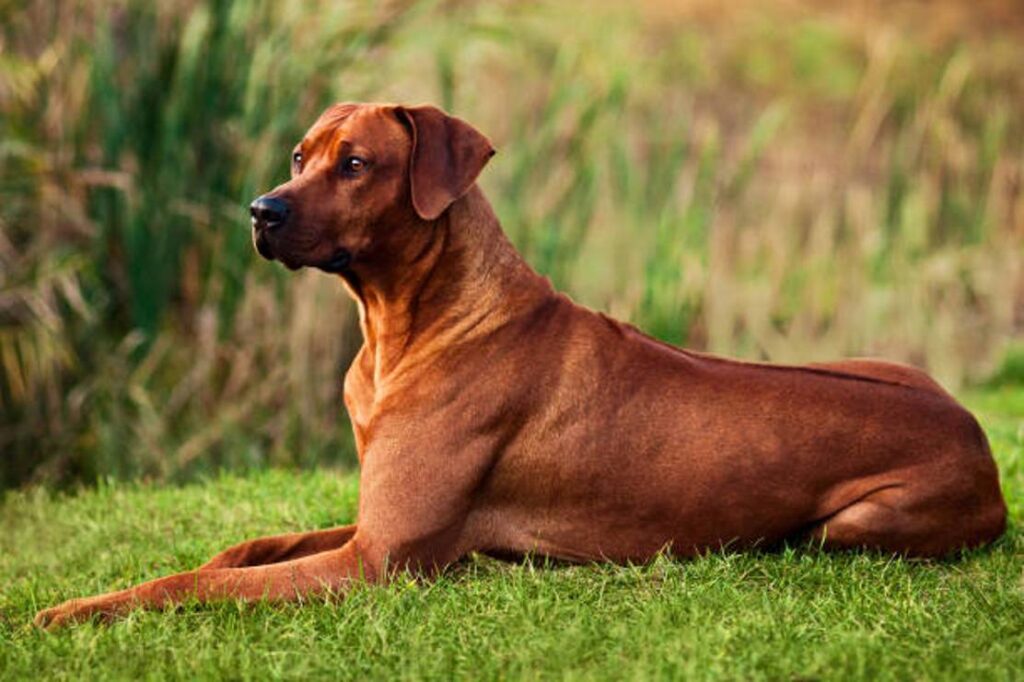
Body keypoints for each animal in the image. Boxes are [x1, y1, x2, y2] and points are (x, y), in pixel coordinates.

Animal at [34, 102, 1007, 626]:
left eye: (356, 163)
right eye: (299, 156)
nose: (259, 210)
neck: (405, 328)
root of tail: (977, 435)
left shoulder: (374, 560)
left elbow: (191, 581)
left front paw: (74, 609)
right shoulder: (371, 528)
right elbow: (246, 545)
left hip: (854, 526)